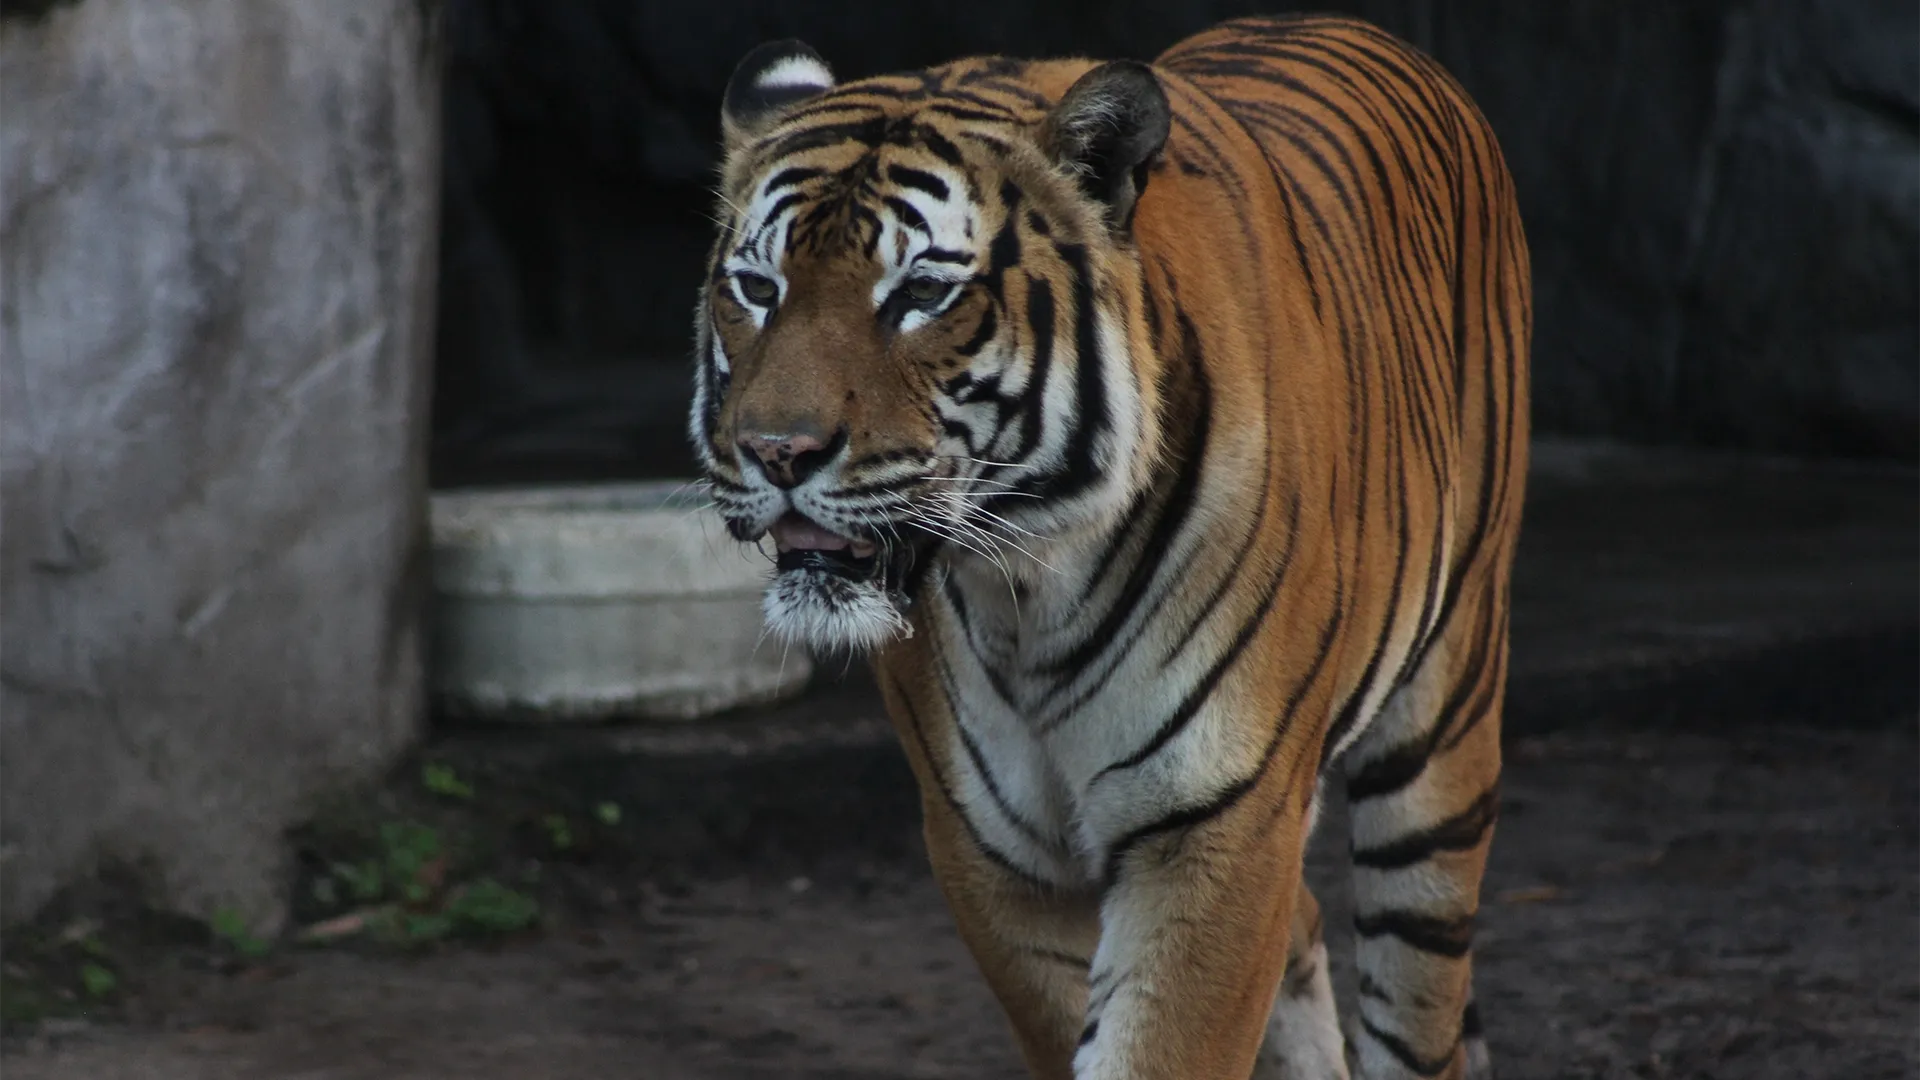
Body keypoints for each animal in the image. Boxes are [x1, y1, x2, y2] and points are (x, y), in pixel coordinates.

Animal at [688, 13, 1530, 1080]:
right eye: (757, 288)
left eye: (919, 294)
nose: (776, 452)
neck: (1026, 589)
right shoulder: (993, 849)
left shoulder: (1219, 819)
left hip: (1443, 734)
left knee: (1417, 1003)